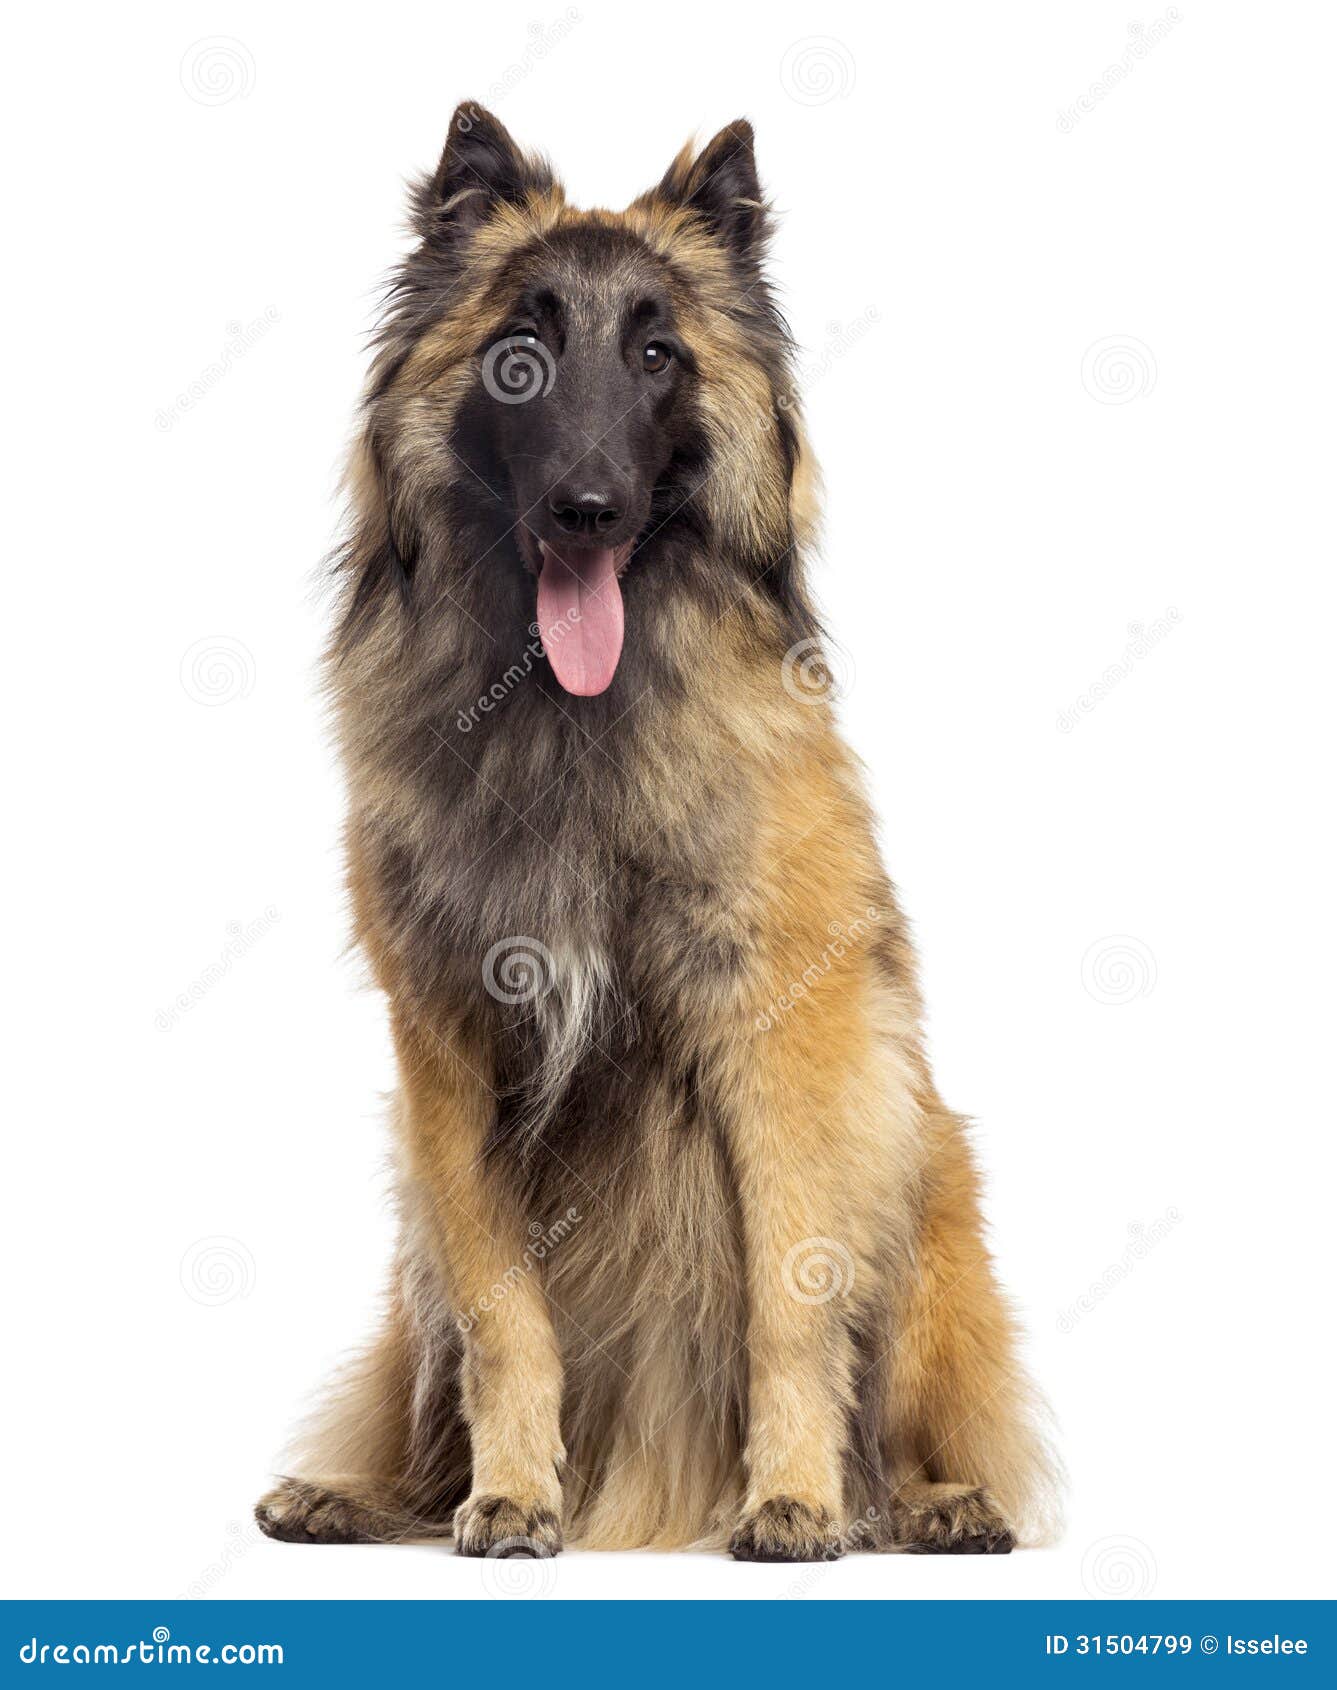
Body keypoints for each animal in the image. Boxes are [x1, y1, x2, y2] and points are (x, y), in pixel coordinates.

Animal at [256, 102, 1061, 1554]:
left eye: (655, 353)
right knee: (424, 1406)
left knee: (905, 1416)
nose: (587, 508)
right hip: (412, 1231)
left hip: (913, 1161)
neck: (568, 725)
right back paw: (367, 1494)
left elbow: (789, 1300)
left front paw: (791, 1496)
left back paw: (924, 1503)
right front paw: (515, 1492)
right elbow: (504, 1316)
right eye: (518, 356)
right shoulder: (449, 1055)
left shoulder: (780, 1036)